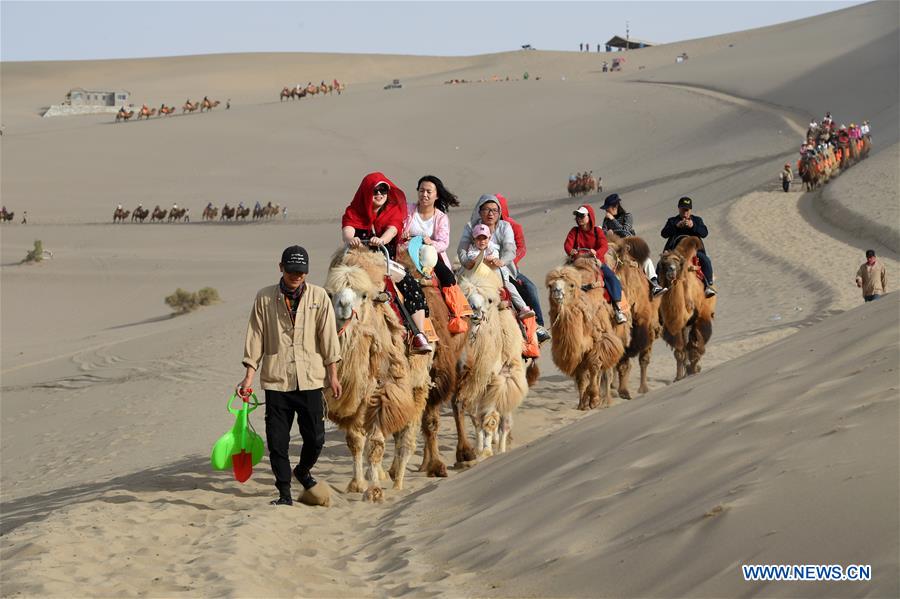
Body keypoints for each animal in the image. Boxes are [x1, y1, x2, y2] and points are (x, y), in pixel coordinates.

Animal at [326, 248, 432, 502]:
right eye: (332, 294)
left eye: (363, 295)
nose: (344, 305)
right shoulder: (355, 398)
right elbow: (355, 441)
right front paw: (357, 484)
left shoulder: (385, 392)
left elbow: (375, 444)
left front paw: (373, 490)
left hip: (418, 386)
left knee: (407, 437)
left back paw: (398, 482)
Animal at [544, 255, 628, 410]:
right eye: (550, 285)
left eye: (571, 285)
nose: (557, 292)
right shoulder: (577, 350)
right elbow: (581, 376)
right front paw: (582, 403)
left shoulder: (601, 341)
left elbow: (595, 366)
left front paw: (593, 398)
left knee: (607, 370)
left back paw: (606, 400)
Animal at [652, 238, 716, 382]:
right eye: (664, 263)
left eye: (677, 262)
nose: (671, 272)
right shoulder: (672, 326)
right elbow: (679, 352)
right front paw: (679, 377)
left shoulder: (691, 320)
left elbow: (691, 345)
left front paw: (693, 368)